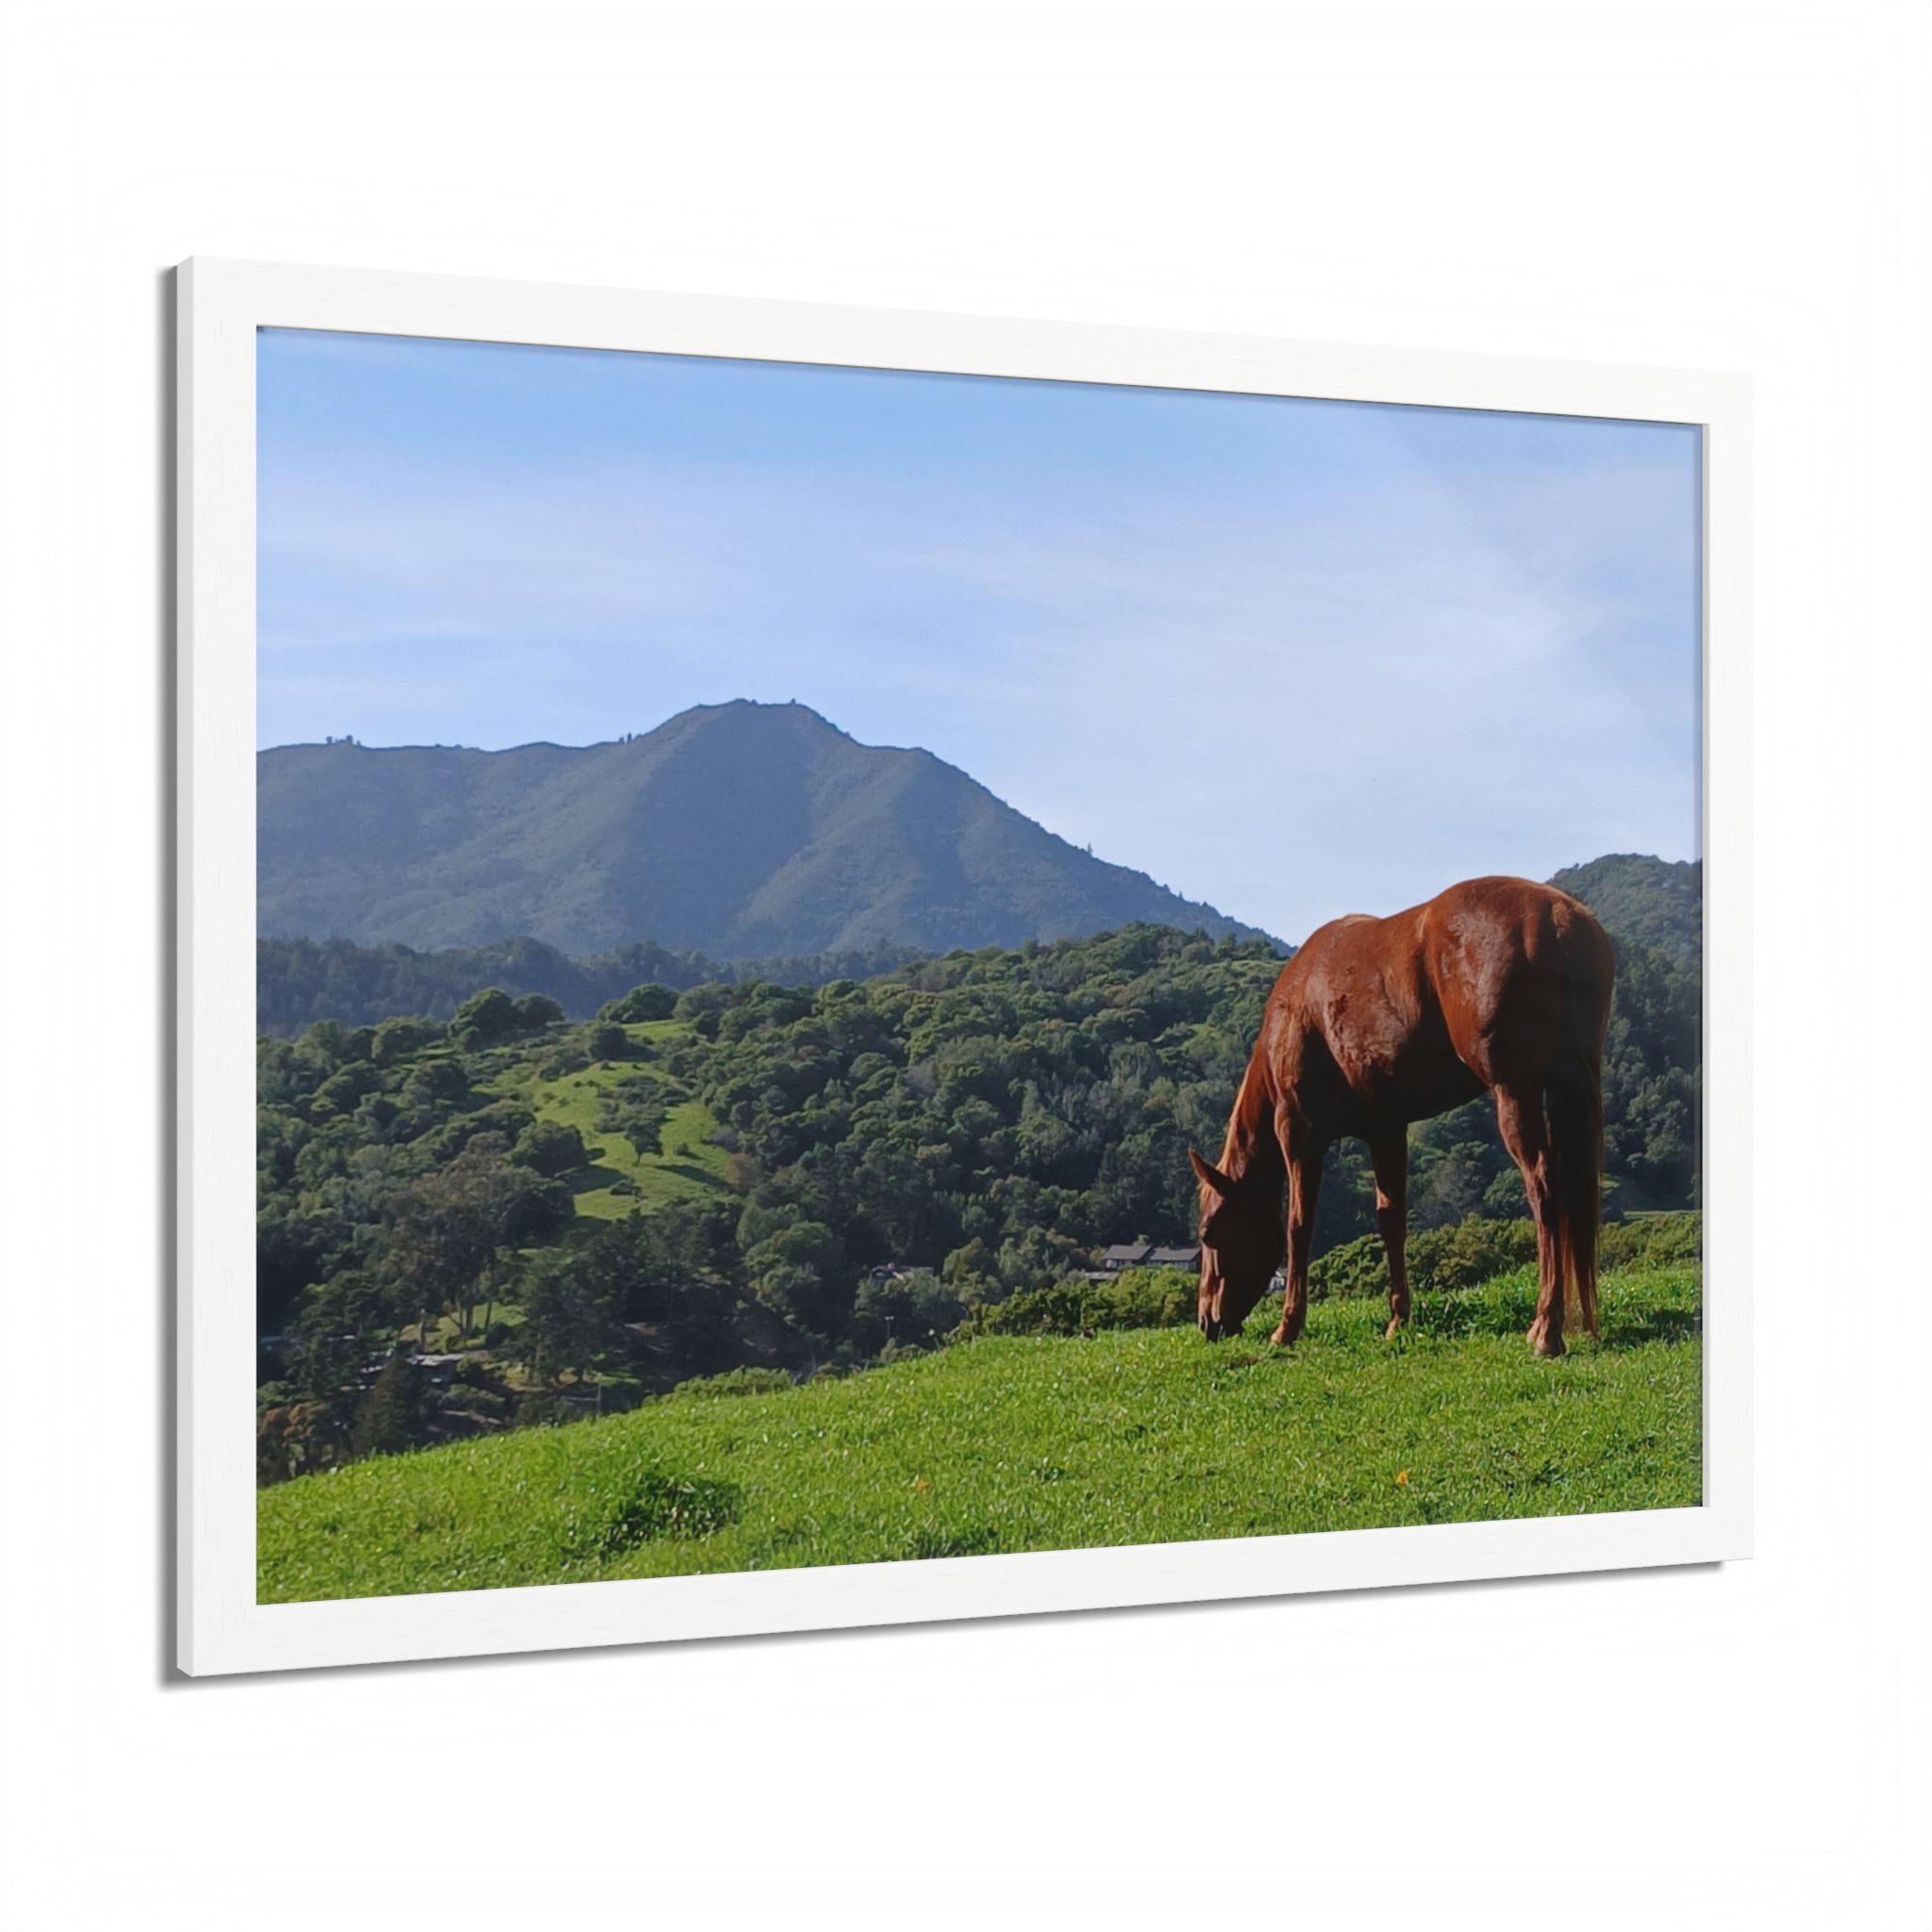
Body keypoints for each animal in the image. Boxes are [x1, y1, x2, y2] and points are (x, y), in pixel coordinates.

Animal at [1189, 876, 1615, 1357]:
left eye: (1208, 1233)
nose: (1207, 1322)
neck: (1297, 1007)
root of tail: (1558, 916)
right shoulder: (1386, 1130)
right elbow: (1391, 1221)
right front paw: (1398, 1319)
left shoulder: (1299, 1131)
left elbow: (1299, 1226)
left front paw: (1288, 1326)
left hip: (1515, 1092)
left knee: (1543, 1188)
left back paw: (1546, 1328)